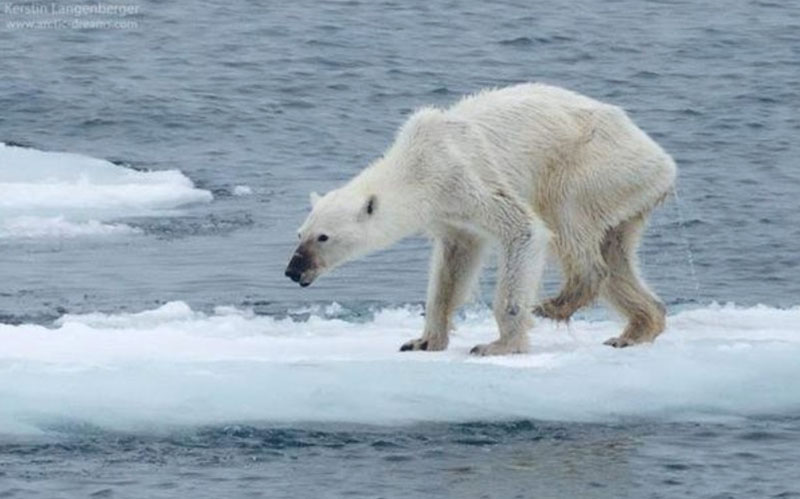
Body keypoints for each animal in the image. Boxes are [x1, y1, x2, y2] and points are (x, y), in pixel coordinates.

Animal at [286, 83, 676, 356]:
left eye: (323, 237)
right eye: (299, 233)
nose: (293, 270)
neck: (417, 163)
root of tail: (663, 161)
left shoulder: (463, 177)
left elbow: (524, 230)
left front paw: (498, 345)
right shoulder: (449, 215)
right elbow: (453, 265)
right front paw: (423, 340)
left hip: (595, 165)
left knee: (567, 217)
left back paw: (556, 303)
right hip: (626, 194)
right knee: (616, 255)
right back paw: (636, 329)